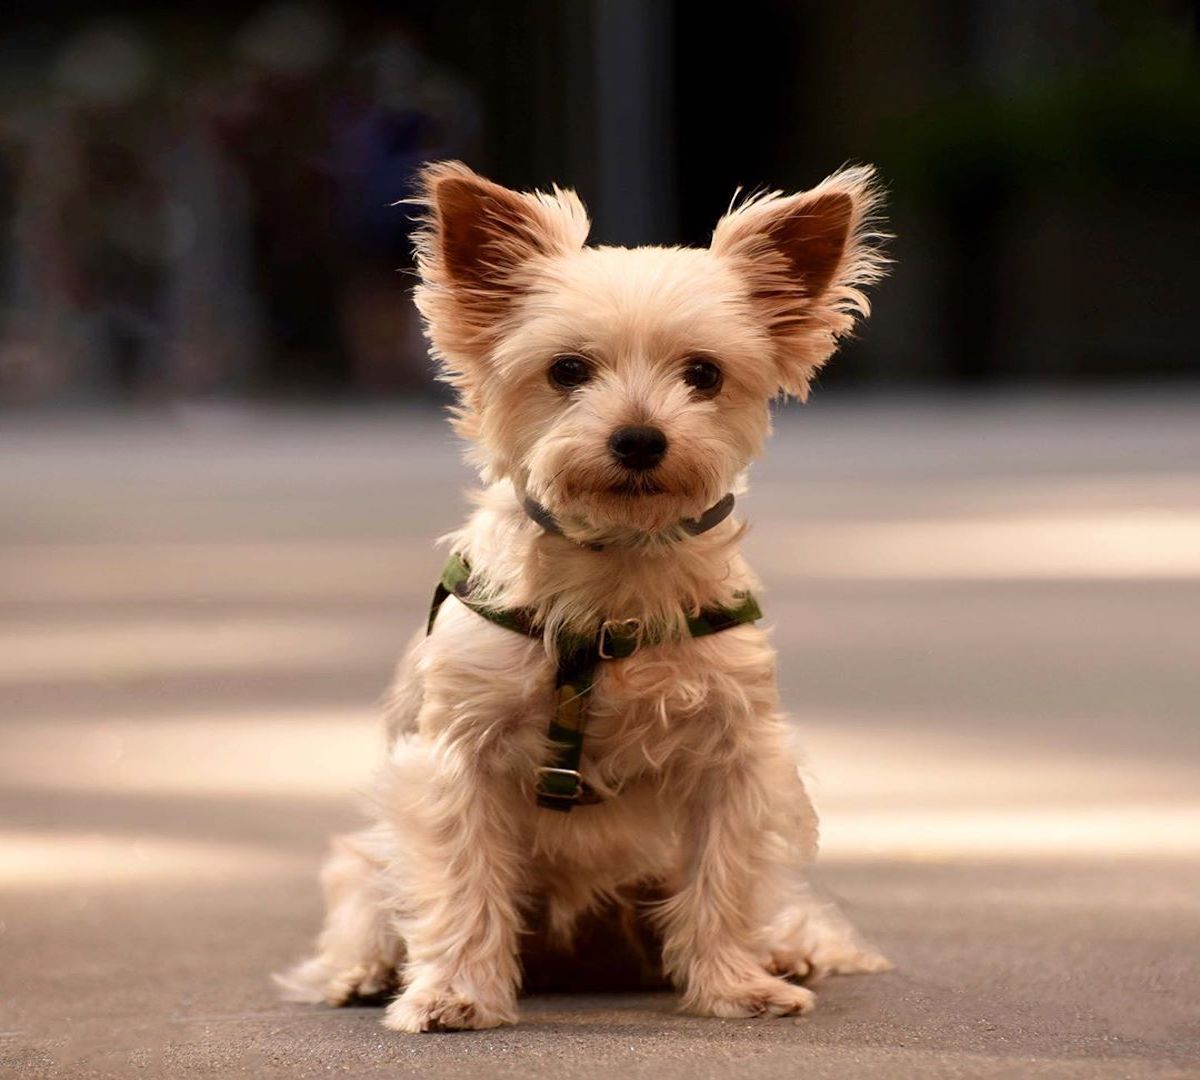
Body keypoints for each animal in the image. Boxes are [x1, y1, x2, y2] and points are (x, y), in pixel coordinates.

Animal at [278, 160, 892, 1027]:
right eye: (567, 370)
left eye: (704, 374)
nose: (639, 439)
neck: (614, 579)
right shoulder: (456, 761)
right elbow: (461, 885)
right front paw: (455, 993)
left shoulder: (736, 759)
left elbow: (724, 881)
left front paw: (733, 985)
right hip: (368, 860)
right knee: (367, 906)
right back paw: (362, 972)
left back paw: (785, 951)